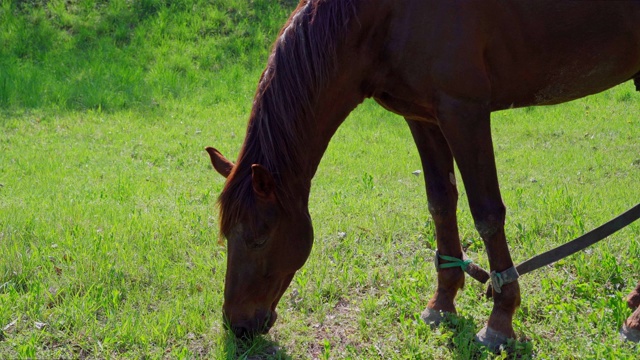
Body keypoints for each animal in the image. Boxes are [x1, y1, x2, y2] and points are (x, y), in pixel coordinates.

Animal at [205, 0, 640, 348]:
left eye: (259, 238)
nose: (237, 326)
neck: (389, 15)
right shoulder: (423, 117)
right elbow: (440, 203)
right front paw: (443, 303)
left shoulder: (464, 111)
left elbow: (486, 214)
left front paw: (500, 319)